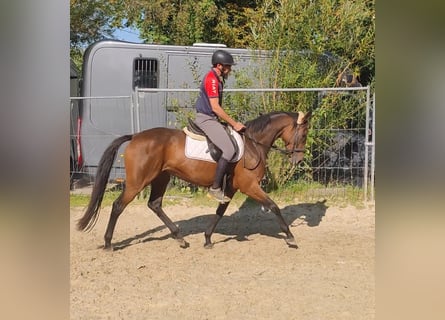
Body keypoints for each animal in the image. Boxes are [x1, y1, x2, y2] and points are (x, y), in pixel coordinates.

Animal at [76, 110, 310, 250]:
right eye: (304, 134)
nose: (298, 160)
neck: (253, 145)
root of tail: (135, 136)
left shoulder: (230, 189)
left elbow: (220, 212)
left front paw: (207, 239)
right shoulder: (249, 186)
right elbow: (274, 206)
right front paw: (290, 237)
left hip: (161, 178)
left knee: (155, 204)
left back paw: (180, 238)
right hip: (137, 182)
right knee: (118, 206)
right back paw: (108, 243)